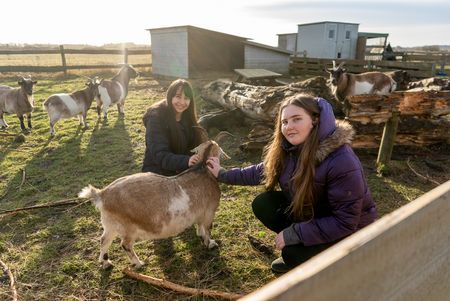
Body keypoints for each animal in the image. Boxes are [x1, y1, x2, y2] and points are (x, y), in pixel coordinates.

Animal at [78, 138, 230, 268]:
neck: (203, 169)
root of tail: (102, 194)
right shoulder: (209, 211)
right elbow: (208, 228)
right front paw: (210, 244)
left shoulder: (200, 212)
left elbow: (200, 225)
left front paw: (200, 235)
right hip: (128, 228)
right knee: (125, 245)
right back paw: (139, 263)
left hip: (110, 224)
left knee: (104, 240)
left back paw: (106, 263)